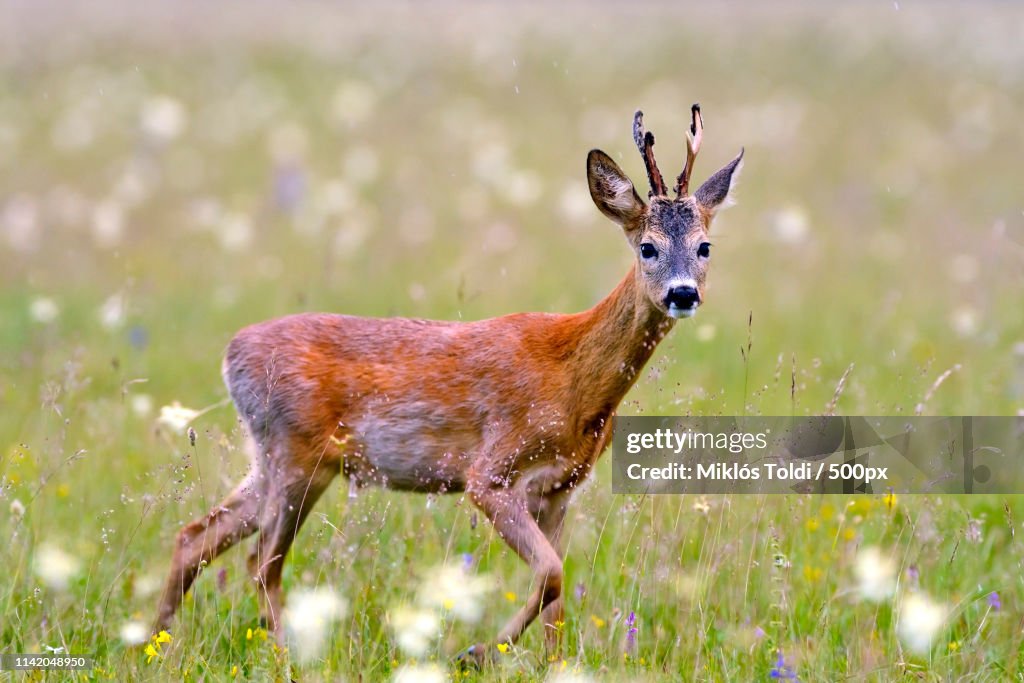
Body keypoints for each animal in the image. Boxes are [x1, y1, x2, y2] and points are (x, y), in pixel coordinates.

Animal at [154, 105, 744, 666]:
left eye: (706, 246)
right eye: (647, 247)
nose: (683, 293)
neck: (574, 384)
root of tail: (232, 353)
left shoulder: (559, 489)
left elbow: (558, 595)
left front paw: (548, 663)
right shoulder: (491, 472)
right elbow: (551, 574)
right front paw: (476, 651)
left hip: (273, 458)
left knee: (195, 537)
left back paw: (158, 643)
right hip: (298, 455)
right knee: (260, 563)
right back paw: (283, 656)